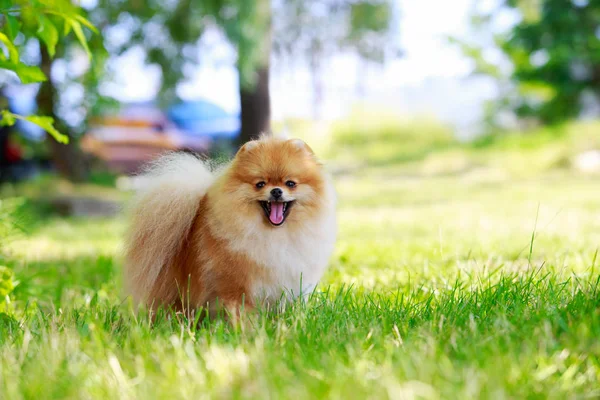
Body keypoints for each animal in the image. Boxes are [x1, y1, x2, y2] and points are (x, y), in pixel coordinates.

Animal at [122, 136, 338, 320]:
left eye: (290, 183)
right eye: (260, 184)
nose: (276, 191)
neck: (276, 235)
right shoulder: (236, 285)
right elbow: (242, 312)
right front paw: (248, 333)